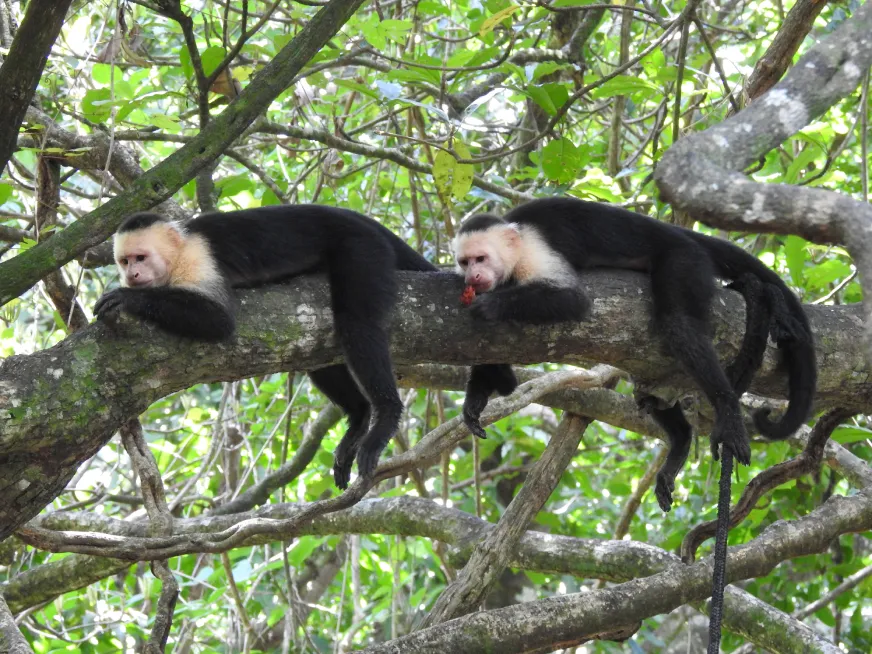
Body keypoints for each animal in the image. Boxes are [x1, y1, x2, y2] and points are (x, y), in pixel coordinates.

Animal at [95, 205, 518, 490]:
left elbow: (218, 322)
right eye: (125, 260)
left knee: (357, 325)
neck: (178, 251)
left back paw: (384, 415)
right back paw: (359, 416)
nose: (133, 274)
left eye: (140, 257)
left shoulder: (197, 257)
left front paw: (126, 299)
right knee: (319, 357)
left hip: (361, 249)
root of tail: (363, 220)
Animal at [453, 197, 816, 653]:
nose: (473, 277)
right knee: (649, 382)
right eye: (464, 262)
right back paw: (679, 441)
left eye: (480, 258)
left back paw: (727, 410)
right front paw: (477, 397)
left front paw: (491, 308)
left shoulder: (534, 252)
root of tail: (676, 231)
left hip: (684, 260)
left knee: (680, 325)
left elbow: (573, 301)